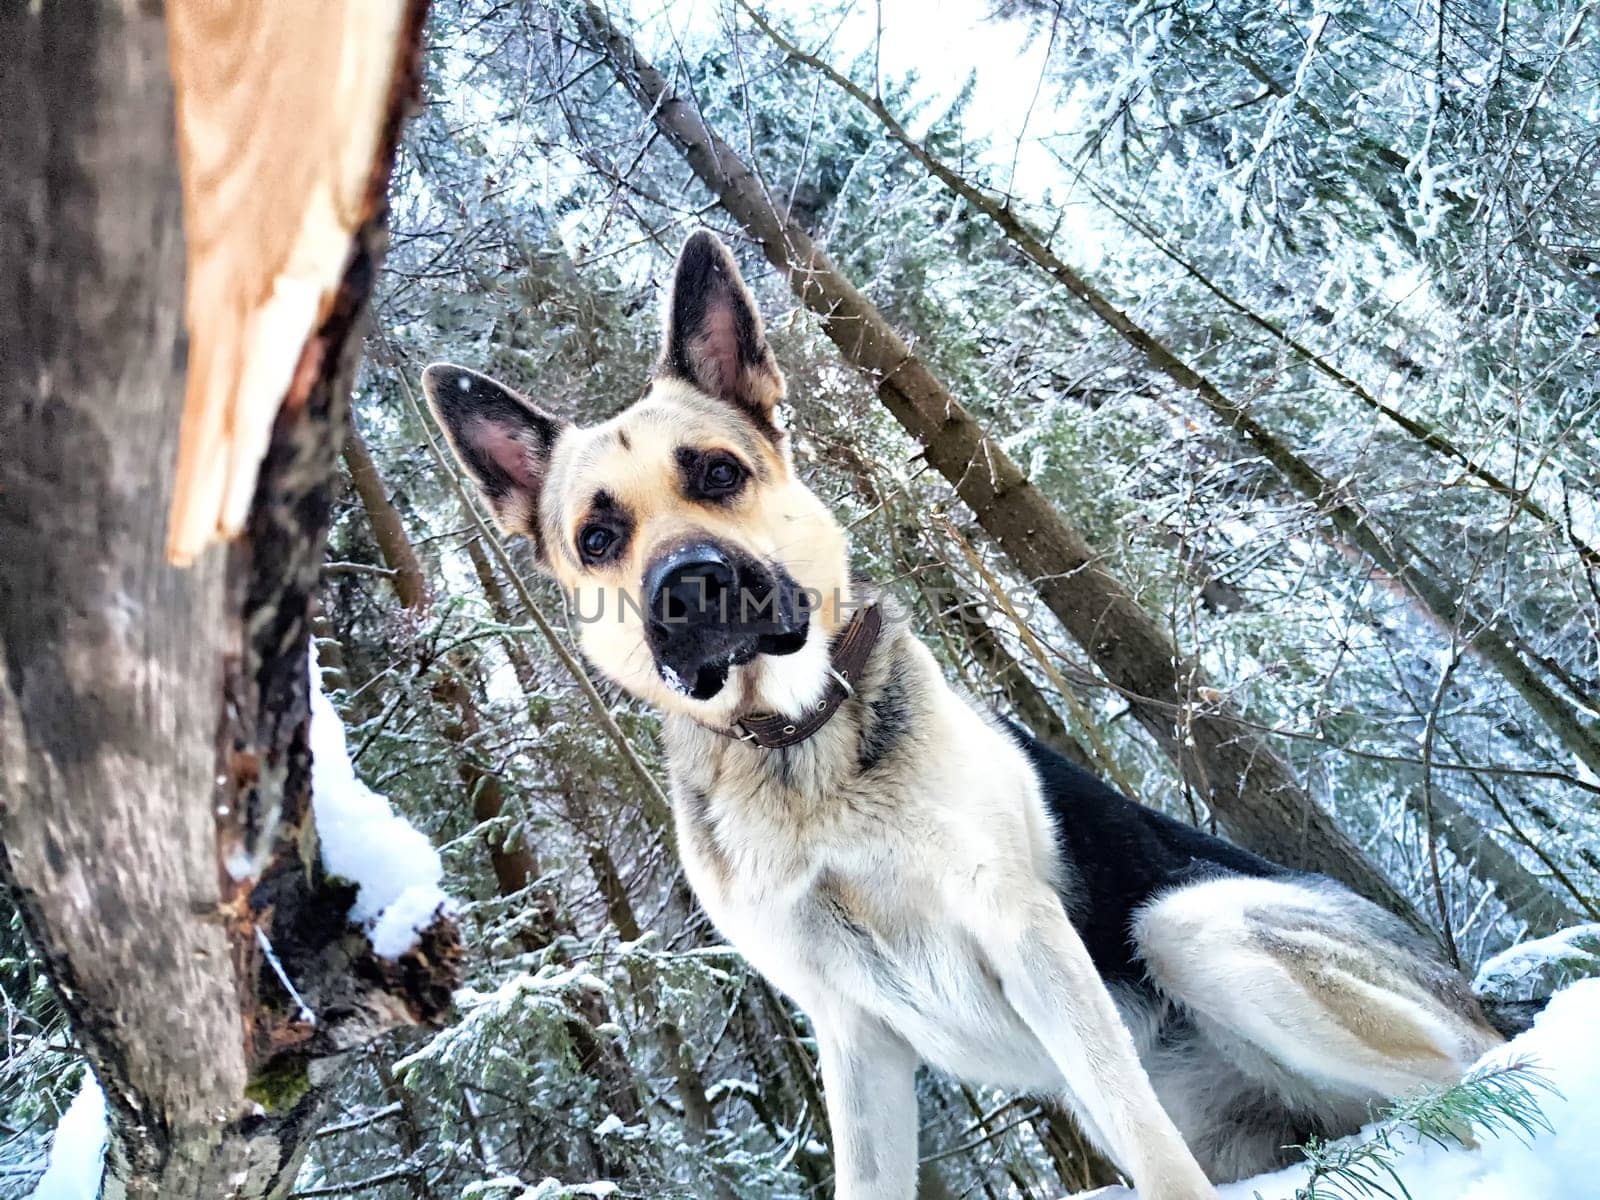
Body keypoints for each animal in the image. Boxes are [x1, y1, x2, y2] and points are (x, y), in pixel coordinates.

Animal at [422, 235, 1497, 1200]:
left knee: (1479, 1076)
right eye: (598, 538)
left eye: (718, 474)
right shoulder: (850, 1034)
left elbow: (1148, 1149)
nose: (690, 589)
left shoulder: (1023, 934)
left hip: (1192, 925)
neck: (801, 751)